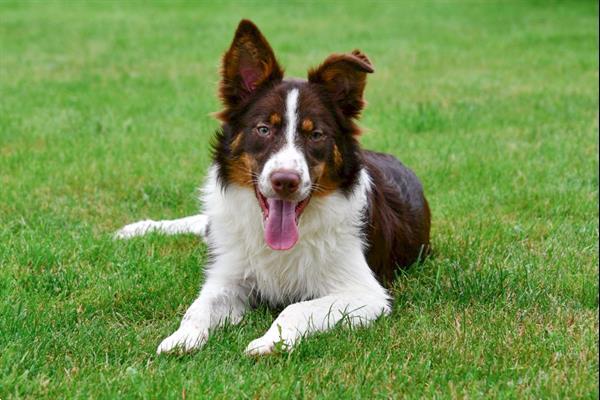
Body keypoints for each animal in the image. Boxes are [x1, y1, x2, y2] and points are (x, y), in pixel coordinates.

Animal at [115, 20, 428, 354]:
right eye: (264, 129)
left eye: (316, 134)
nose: (285, 181)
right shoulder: (228, 275)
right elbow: (198, 306)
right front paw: (182, 338)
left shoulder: (366, 293)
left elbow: (295, 308)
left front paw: (271, 342)